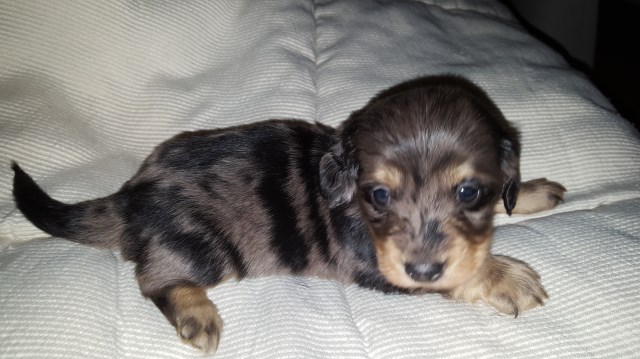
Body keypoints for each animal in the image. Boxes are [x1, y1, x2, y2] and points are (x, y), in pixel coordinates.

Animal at [11, 75, 564, 354]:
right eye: (379, 196)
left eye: (469, 191)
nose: (423, 267)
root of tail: (130, 195)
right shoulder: (378, 264)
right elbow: (460, 276)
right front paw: (506, 277)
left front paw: (532, 191)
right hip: (204, 248)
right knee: (153, 278)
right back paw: (196, 314)